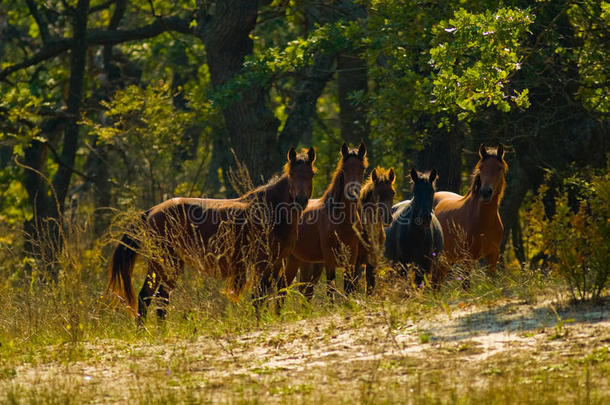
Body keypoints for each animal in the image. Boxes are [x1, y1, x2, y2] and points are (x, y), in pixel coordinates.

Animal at [107, 147, 314, 320]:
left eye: (311, 174)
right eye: (292, 174)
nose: (301, 200)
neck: (270, 209)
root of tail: (151, 211)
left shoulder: (277, 262)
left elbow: (273, 295)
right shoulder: (262, 263)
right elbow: (258, 297)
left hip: (168, 265)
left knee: (160, 300)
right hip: (163, 263)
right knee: (147, 298)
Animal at [280, 142, 366, 300]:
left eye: (362, 168)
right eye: (344, 169)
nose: (353, 194)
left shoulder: (351, 261)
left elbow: (348, 289)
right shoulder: (329, 259)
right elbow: (331, 290)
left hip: (299, 261)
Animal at [298, 166, 394, 296]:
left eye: (392, 193)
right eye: (376, 193)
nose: (388, 218)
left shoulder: (372, 264)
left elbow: (369, 290)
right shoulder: (356, 263)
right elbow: (353, 288)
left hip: (318, 265)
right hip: (307, 264)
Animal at [432, 144, 508, 286]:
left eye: (499, 168)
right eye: (481, 168)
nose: (485, 192)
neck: (483, 221)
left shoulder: (492, 257)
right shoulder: (468, 259)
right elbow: (466, 285)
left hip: (446, 260)